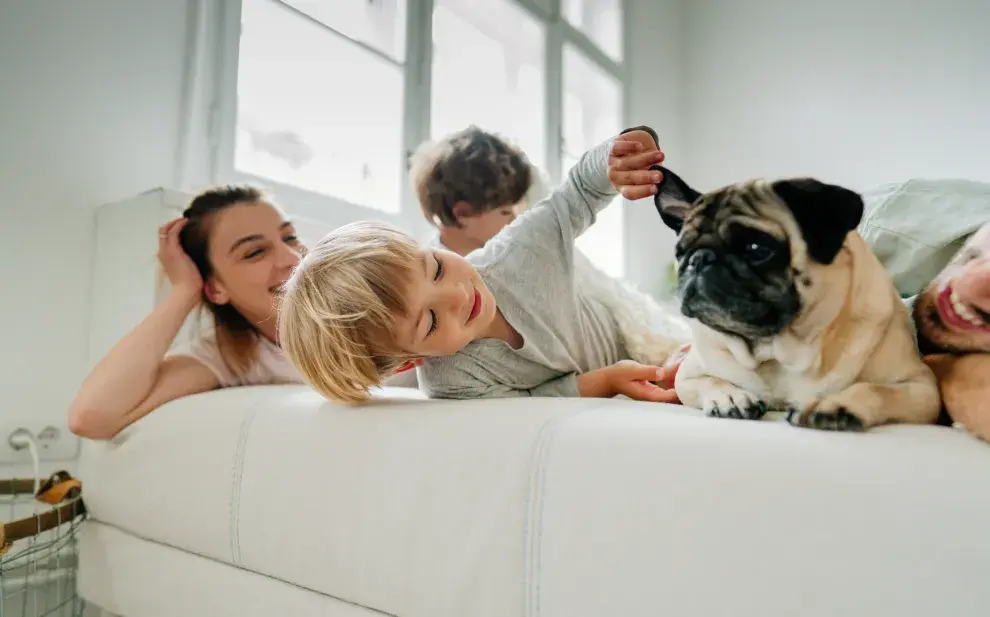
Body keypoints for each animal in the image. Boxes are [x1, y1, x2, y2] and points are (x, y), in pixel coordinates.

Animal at [656, 166, 940, 430]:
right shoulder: (687, 376)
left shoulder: (921, 387)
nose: (699, 258)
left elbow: (874, 389)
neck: (775, 351)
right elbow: (709, 381)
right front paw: (729, 397)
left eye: (757, 249)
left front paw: (836, 403)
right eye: (680, 252)